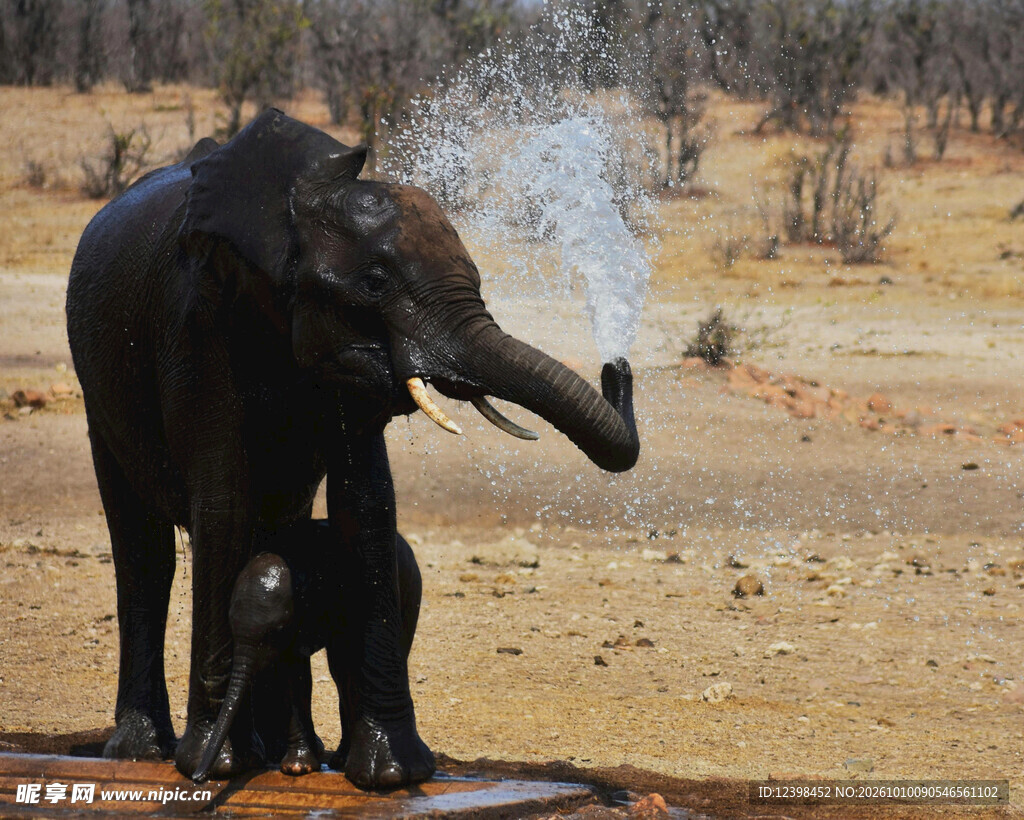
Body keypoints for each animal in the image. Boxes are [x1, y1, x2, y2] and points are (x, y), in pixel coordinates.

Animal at [192, 523, 421, 783]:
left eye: (275, 631)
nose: (198, 778)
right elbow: (293, 677)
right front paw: (297, 768)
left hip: (409, 589)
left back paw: (343, 759)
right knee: (340, 672)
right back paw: (340, 759)